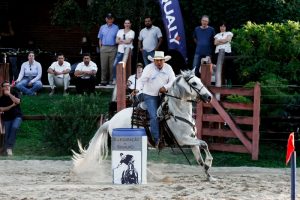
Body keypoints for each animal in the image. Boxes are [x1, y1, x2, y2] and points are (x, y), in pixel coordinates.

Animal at [72, 70, 214, 180]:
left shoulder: (192, 140)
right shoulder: (183, 140)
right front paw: (209, 163)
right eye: (194, 83)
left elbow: (200, 158)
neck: (178, 112)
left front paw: (209, 176)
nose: (209, 97)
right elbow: (204, 144)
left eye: (199, 80)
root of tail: (111, 121)